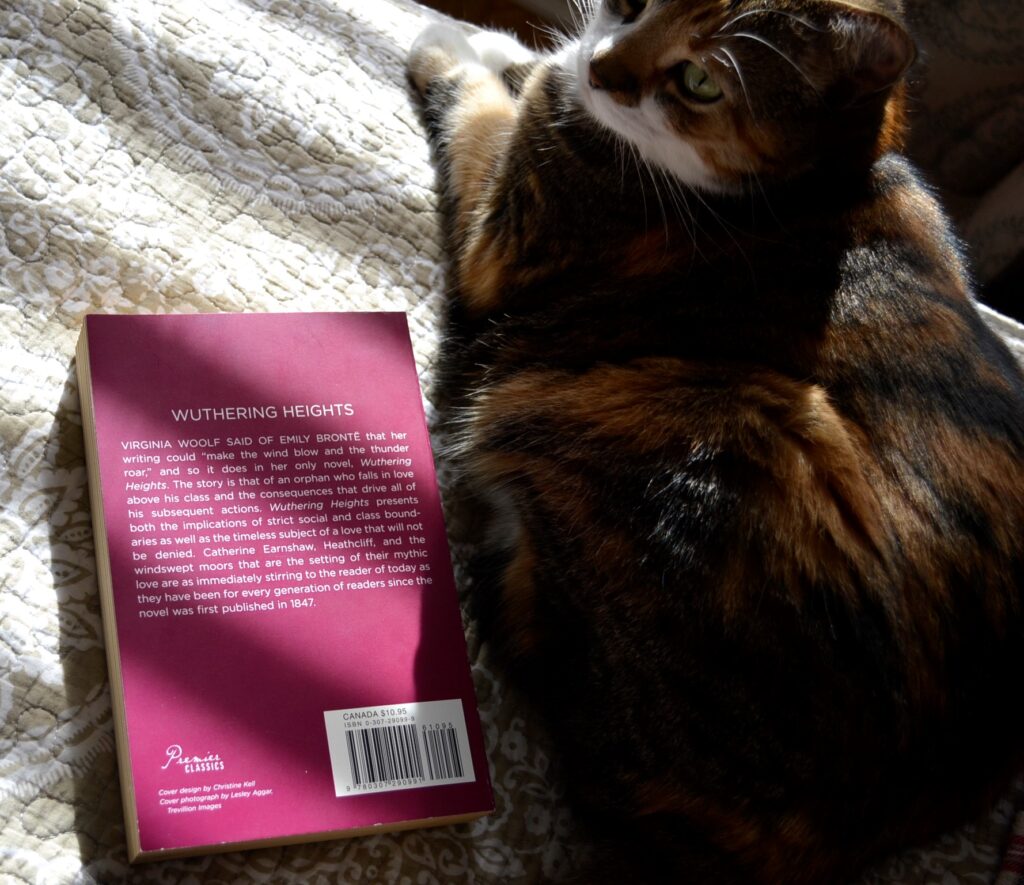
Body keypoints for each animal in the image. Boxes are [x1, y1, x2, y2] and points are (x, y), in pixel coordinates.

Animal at [405, 3, 1024, 880]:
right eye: (634, 6)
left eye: (700, 81)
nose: (604, 73)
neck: (807, 187)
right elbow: (529, 66)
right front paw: (510, 45)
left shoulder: (511, 228)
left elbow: (482, 110)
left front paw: (451, 42)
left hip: (677, 413)